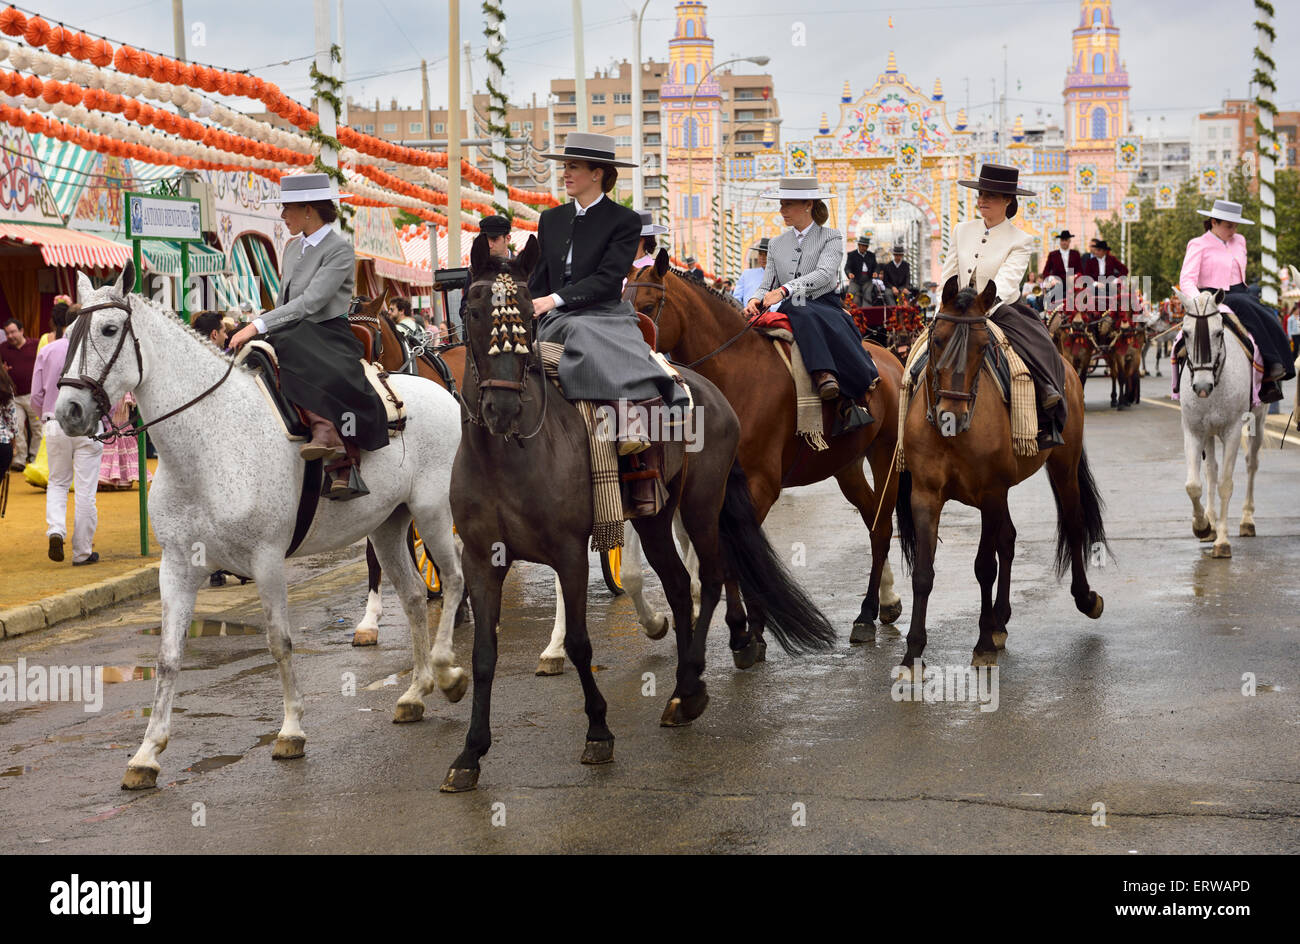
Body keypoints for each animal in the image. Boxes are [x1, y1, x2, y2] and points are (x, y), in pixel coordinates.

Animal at [58, 260, 473, 790]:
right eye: (68, 332)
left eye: (110, 329)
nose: (68, 411)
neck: (209, 441)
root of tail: (439, 392)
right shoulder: (177, 566)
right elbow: (168, 658)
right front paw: (147, 754)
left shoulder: (267, 560)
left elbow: (280, 642)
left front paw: (291, 730)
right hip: (386, 525)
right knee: (416, 596)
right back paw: (416, 692)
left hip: (434, 511)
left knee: (455, 577)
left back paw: (448, 673)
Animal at [444, 236, 832, 790]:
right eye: (473, 310)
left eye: (527, 313)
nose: (503, 408)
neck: (511, 454)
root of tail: (705, 386)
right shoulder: (480, 559)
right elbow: (482, 655)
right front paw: (471, 752)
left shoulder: (568, 554)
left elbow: (581, 644)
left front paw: (598, 731)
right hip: (653, 517)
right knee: (678, 584)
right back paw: (684, 686)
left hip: (700, 505)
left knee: (712, 577)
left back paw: (692, 687)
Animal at [626, 250, 909, 650]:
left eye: (648, 306)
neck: (735, 373)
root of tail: (887, 357)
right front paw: (746, 627)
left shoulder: (760, 484)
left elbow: (735, 553)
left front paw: (749, 628)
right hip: (847, 465)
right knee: (872, 521)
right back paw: (887, 600)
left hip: (883, 455)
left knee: (882, 527)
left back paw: (866, 614)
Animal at [899, 276, 1112, 676]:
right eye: (937, 340)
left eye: (983, 347)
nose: (950, 415)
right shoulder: (926, 496)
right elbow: (923, 572)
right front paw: (913, 653)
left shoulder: (990, 493)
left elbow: (985, 566)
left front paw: (982, 644)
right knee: (1009, 540)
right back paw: (1000, 619)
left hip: (1062, 466)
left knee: (1073, 524)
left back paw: (1084, 597)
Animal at [1175, 288, 1263, 553]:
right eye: (1186, 333)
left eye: (1218, 333)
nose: (1202, 387)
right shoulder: (1193, 431)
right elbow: (1194, 485)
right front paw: (1203, 526)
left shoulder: (1232, 432)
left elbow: (1225, 484)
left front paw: (1223, 541)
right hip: (1209, 433)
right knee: (1211, 471)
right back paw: (1211, 523)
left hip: (1259, 417)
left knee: (1251, 463)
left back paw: (1247, 519)